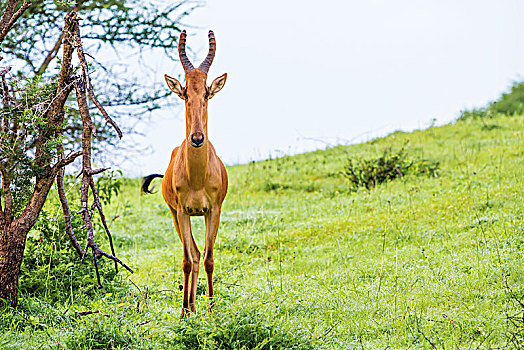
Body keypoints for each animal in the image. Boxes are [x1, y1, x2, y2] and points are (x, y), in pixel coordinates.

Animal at [142, 28, 226, 316]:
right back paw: (188, 307)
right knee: (191, 255)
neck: (197, 177)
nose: (197, 138)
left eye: (207, 94)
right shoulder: (182, 211)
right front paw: (184, 312)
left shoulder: (213, 210)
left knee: (200, 254)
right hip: (176, 216)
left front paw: (212, 309)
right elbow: (187, 261)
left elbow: (209, 258)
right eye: (186, 94)